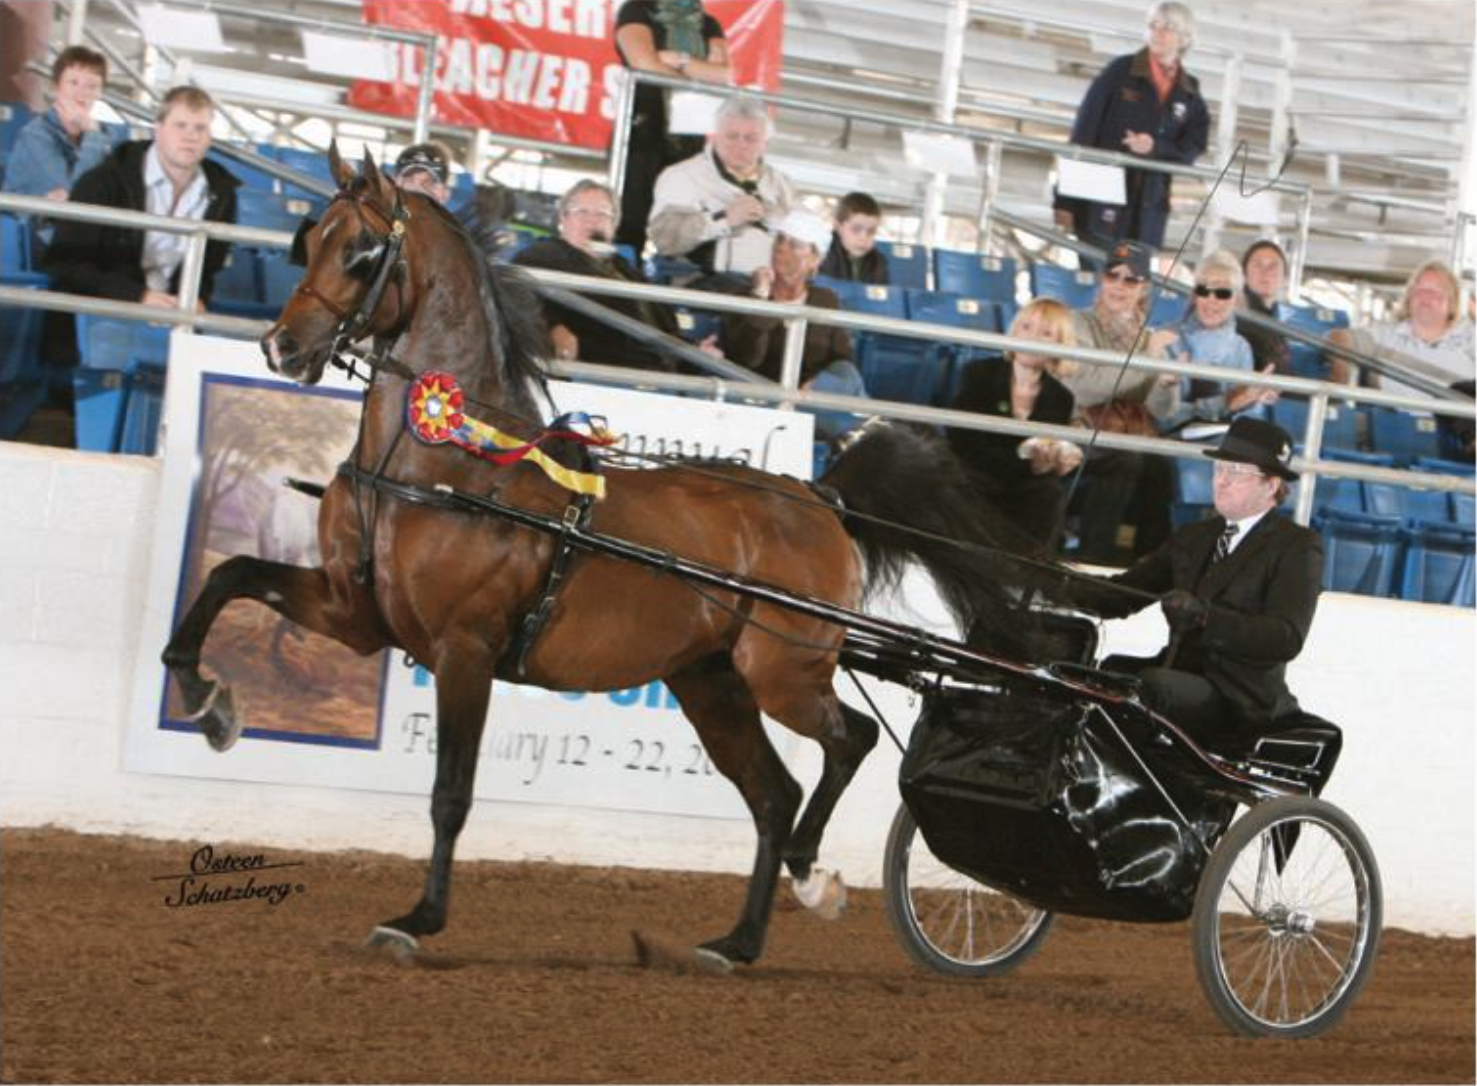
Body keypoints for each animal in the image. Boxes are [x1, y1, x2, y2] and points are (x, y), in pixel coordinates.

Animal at [161, 145, 1038, 970]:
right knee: (772, 792)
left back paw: (810, 876)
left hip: (783, 670)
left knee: (846, 742)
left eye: (362, 252)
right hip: (709, 681)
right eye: (310, 237)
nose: (282, 347)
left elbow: (451, 792)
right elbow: (229, 575)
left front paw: (416, 919)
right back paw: (734, 942)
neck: (441, 468)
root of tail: (819, 495)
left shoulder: (463, 650)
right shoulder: (357, 613)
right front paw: (207, 701)